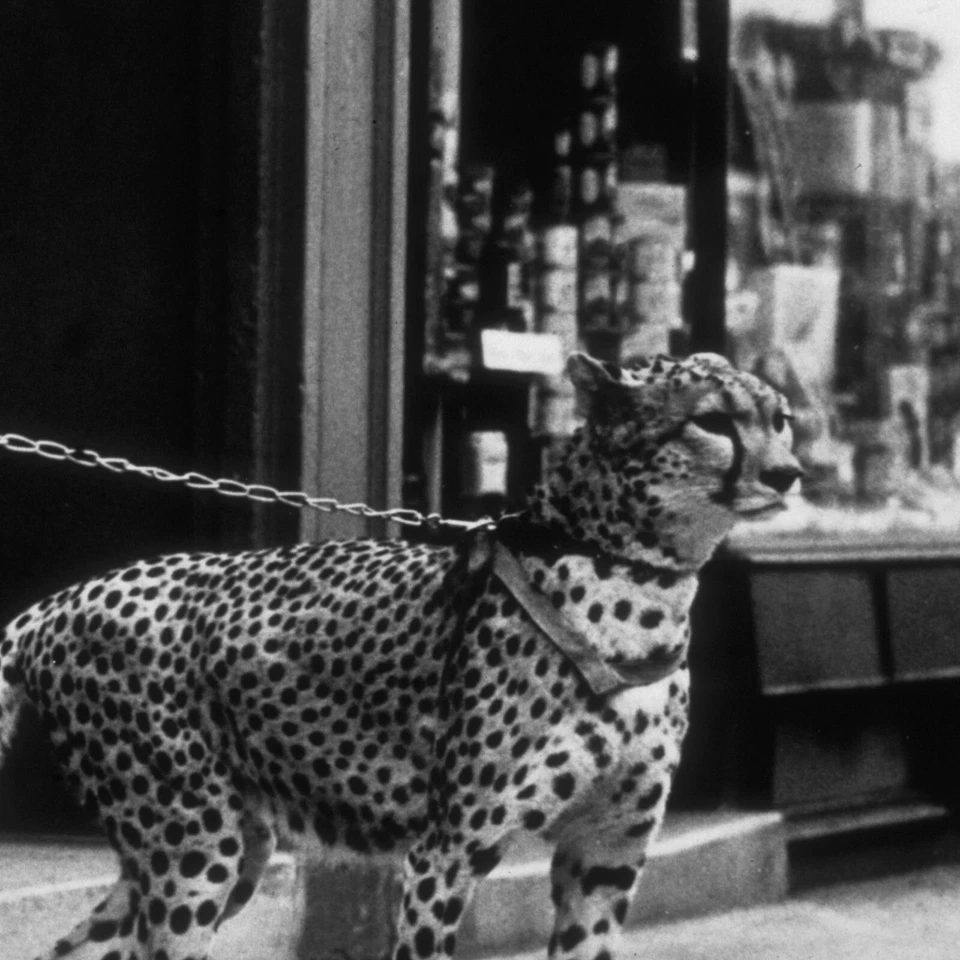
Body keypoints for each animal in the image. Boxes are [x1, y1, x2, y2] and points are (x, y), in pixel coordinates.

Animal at [0, 351, 801, 960]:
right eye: (713, 421)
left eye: (781, 419)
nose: (790, 473)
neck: (633, 580)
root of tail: (58, 602)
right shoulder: (445, 855)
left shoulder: (605, 858)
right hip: (193, 850)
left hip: (219, 851)